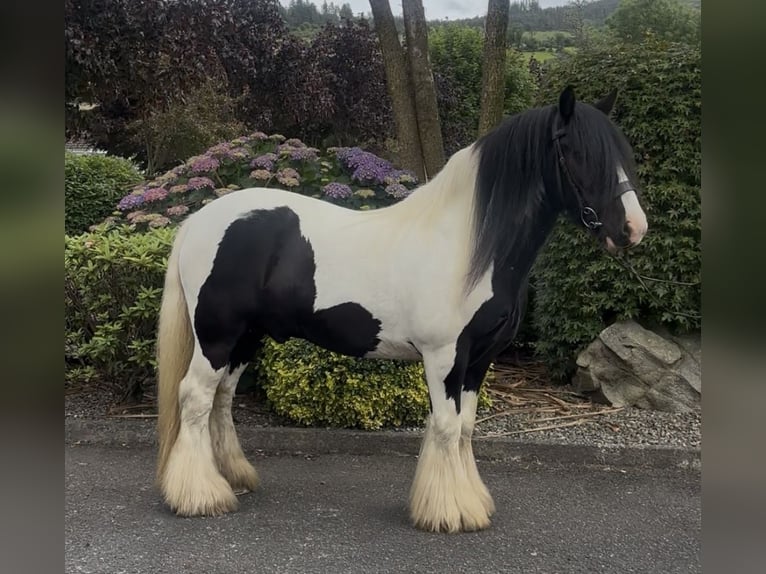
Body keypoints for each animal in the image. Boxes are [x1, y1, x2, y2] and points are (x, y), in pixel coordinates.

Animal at [154, 86, 648, 533]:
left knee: (221, 399)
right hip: (217, 338)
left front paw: (470, 502)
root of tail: (197, 220)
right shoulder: (444, 356)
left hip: (247, 337)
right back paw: (201, 496)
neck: (467, 246)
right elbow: (447, 427)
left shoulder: (479, 360)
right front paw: (449, 513)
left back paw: (233, 478)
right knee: (194, 398)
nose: (634, 228)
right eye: (577, 152)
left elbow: (466, 428)